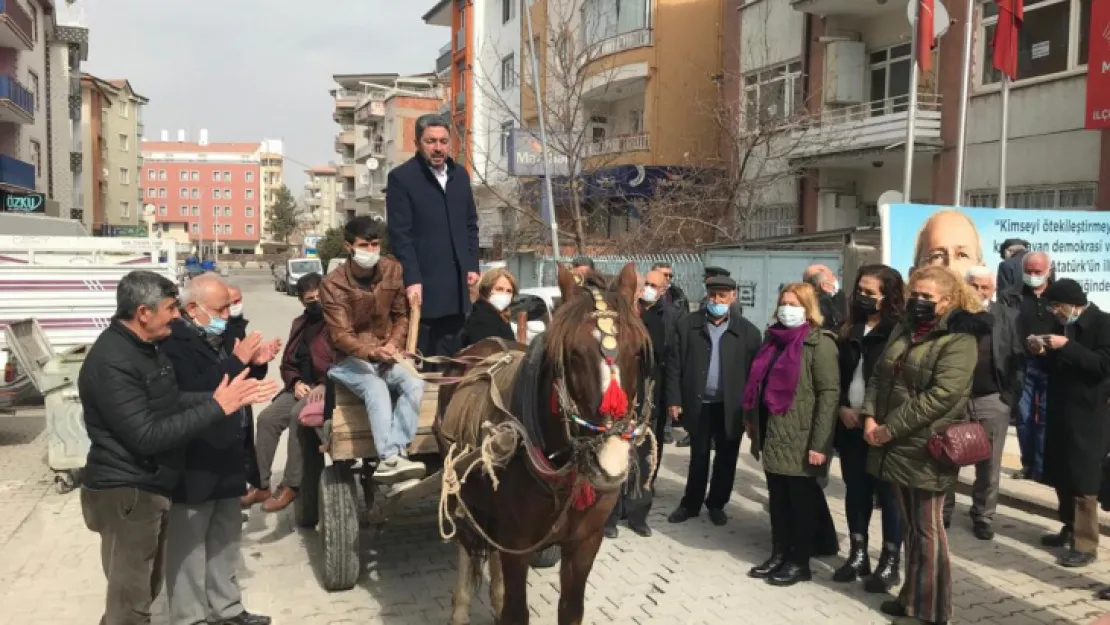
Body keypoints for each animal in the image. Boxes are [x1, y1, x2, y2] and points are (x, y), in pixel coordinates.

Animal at [437, 263, 652, 625]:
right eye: (573, 354)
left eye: (637, 351)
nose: (610, 462)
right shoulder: (517, 542)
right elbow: (517, 611)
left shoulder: (584, 542)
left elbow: (570, 609)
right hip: (461, 490)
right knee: (467, 544)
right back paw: (460, 608)